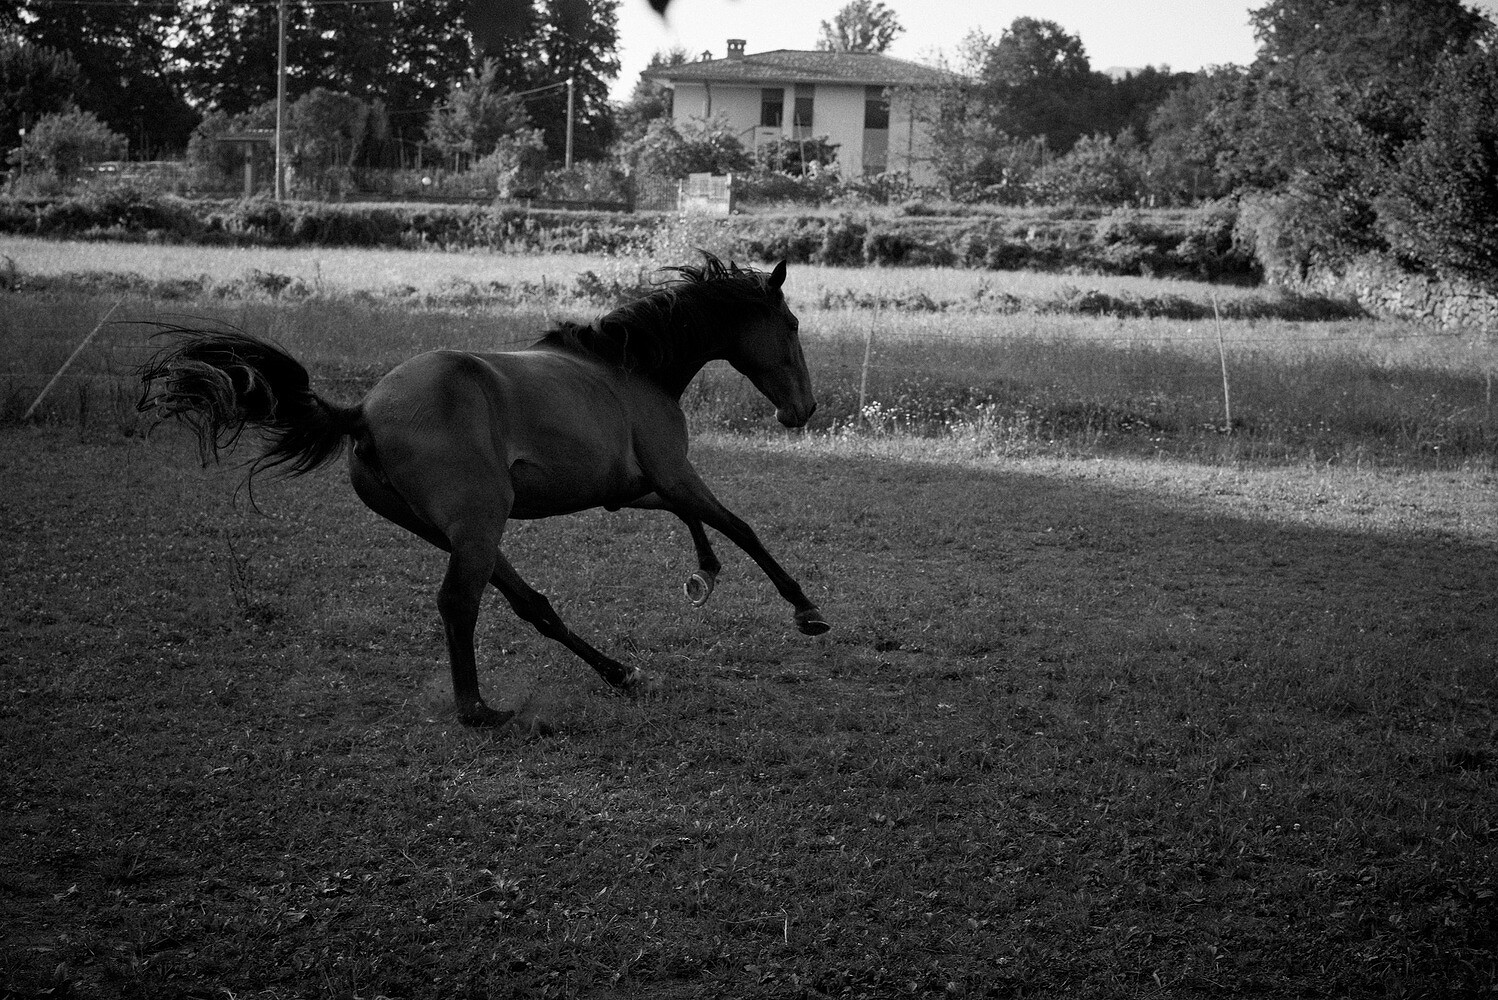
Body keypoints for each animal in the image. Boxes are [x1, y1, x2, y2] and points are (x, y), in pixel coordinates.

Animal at [136, 253, 829, 730]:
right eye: (792, 323)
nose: (802, 410)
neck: (632, 369)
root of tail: (361, 411)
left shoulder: (633, 488)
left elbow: (701, 522)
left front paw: (704, 574)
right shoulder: (672, 473)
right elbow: (740, 526)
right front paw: (805, 611)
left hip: (460, 530)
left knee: (533, 606)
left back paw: (621, 674)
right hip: (478, 523)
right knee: (458, 604)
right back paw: (482, 711)